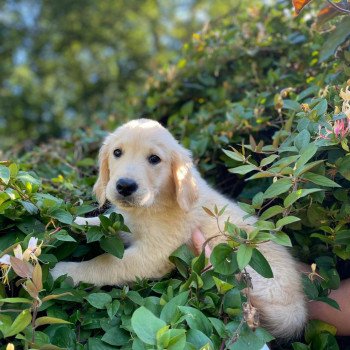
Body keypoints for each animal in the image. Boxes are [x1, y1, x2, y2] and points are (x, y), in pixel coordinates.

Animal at [52, 118, 306, 340]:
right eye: (117, 153)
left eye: (154, 159)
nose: (124, 186)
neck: (156, 203)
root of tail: (298, 306)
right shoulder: (127, 225)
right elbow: (104, 223)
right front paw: (75, 221)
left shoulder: (152, 256)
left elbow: (106, 263)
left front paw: (64, 271)